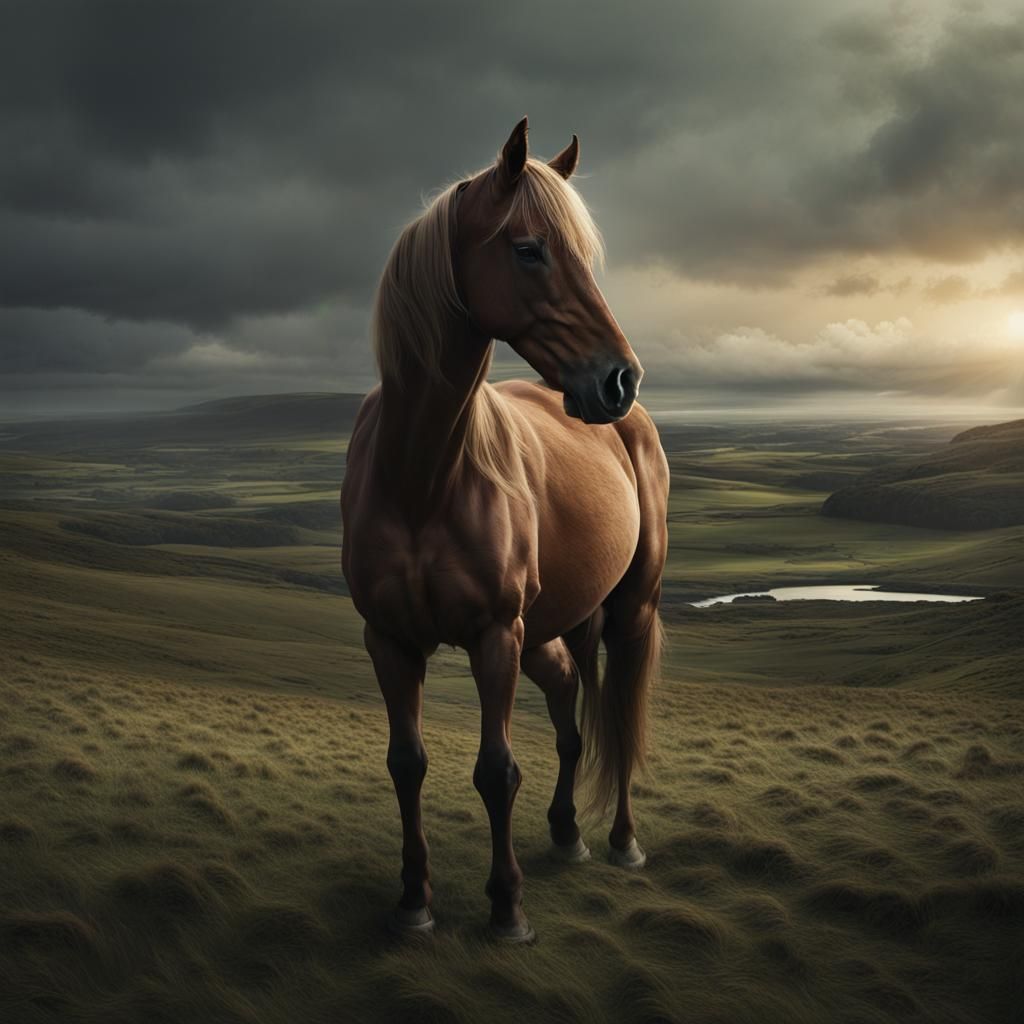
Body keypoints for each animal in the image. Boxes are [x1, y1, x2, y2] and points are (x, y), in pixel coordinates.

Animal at [340, 117, 669, 943]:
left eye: (584, 254)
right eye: (529, 249)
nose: (619, 380)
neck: (422, 477)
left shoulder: (495, 635)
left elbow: (496, 770)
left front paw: (506, 907)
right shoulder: (389, 641)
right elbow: (406, 763)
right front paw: (414, 901)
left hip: (627, 610)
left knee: (617, 716)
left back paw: (621, 841)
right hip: (558, 625)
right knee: (571, 711)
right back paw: (566, 831)